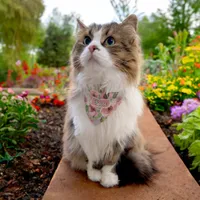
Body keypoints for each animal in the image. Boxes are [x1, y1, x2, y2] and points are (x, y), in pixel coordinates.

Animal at [61, 14, 155, 188]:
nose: (92, 47)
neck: (101, 93)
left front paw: (108, 178)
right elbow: (91, 159)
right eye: (86, 40)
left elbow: (110, 161)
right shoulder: (84, 133)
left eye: (110, 41)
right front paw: (93, 174)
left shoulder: (118, 135)